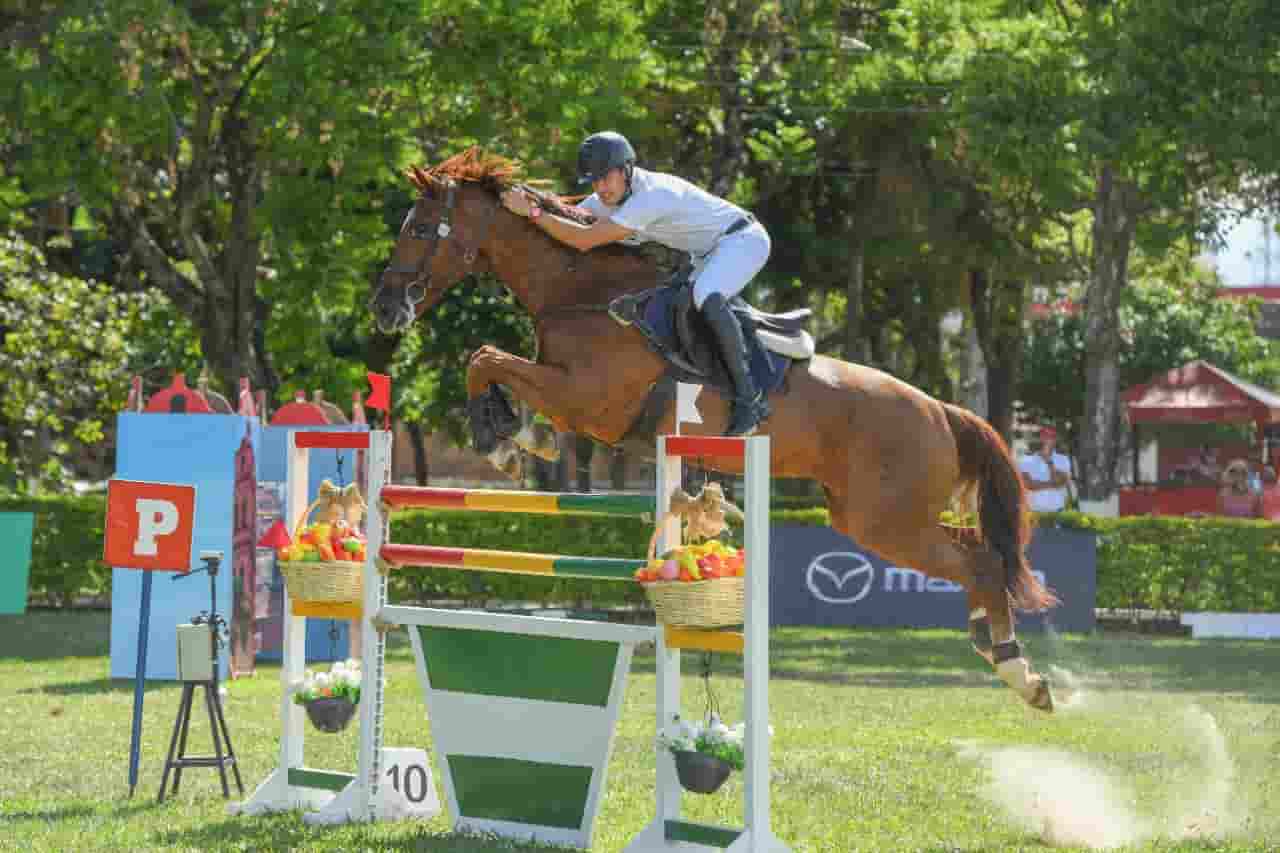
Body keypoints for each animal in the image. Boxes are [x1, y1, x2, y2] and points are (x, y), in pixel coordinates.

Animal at [371, 147, 1059, 712]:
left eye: (419, 229)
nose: (384, 309)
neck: (582, 293)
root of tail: (941, 411)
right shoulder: (575, 396)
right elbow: (489, 363)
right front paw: (515, 436)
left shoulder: (589, 401)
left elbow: (485, 357)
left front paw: (505, 442)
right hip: (869, 516)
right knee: (977, 557)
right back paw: (997, 649)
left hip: (887, 519)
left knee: (979, 562)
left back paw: (1019, 672)